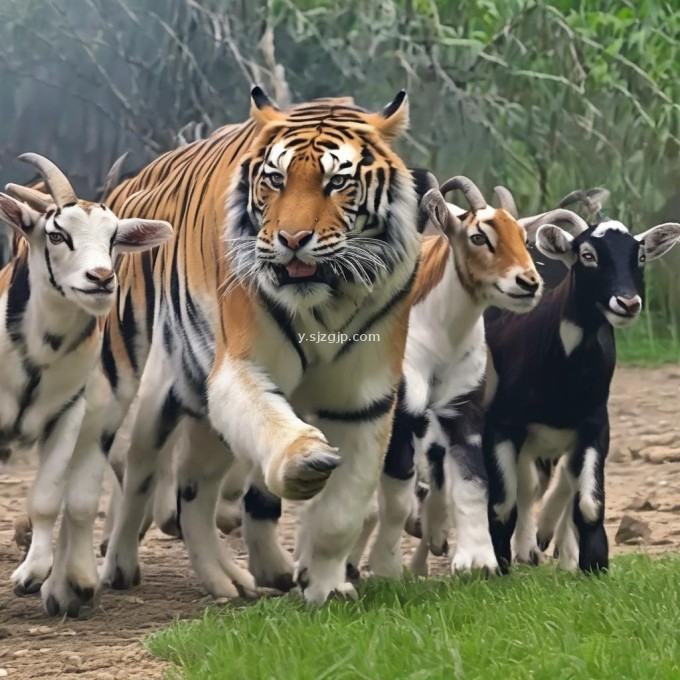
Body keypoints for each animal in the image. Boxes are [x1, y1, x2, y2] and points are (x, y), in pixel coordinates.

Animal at [35, 86, 420, 616]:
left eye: (337, 182)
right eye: (276, 180)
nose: (292, 240)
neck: (328, 300)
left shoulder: (365, 398)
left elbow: (342, 511)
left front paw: (325, 587)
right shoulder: (240, 366)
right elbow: (272, 427)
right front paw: (305, 461)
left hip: (201, 410)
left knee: (193, 490)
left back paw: (225, 580)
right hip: (125, 385)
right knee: (116, 471)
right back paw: (83, 578)